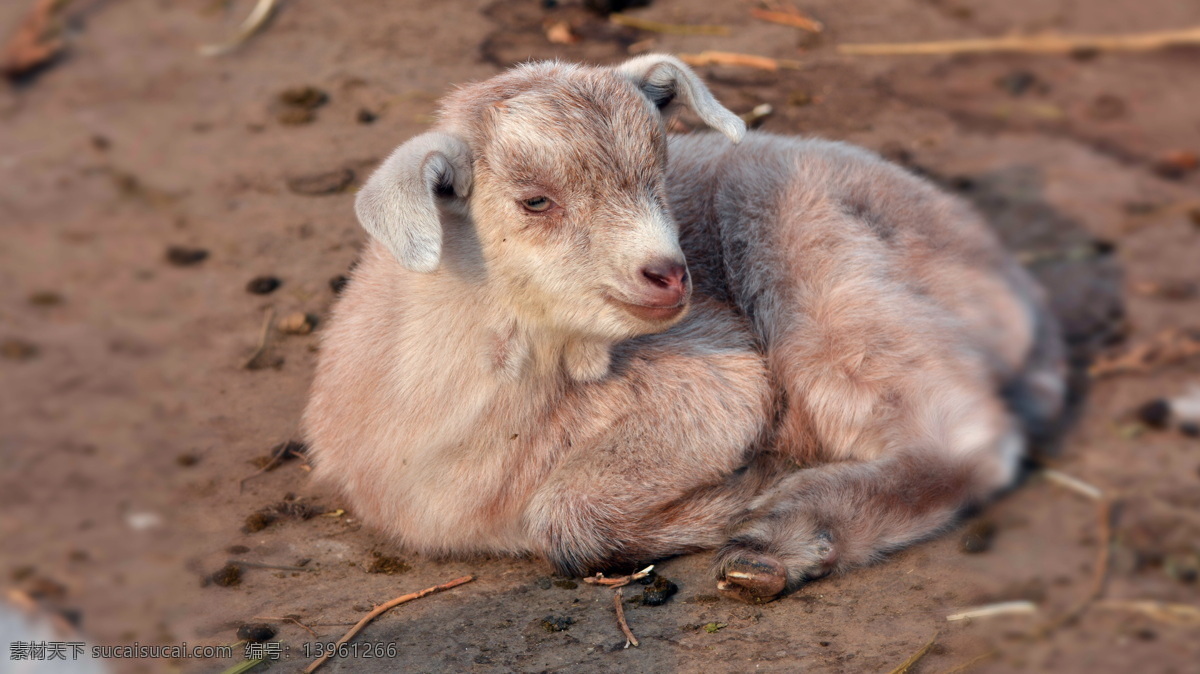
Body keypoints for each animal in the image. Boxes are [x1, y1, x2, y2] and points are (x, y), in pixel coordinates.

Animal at [304, 52, 1065, 597]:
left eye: (659, 178)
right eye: (534, 201)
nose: (670, 273)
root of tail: (1015, 282)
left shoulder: (712, 370)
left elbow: (567, 517)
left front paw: (746, 493)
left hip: (816, 257)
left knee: (961, 435)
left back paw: (779, 542)